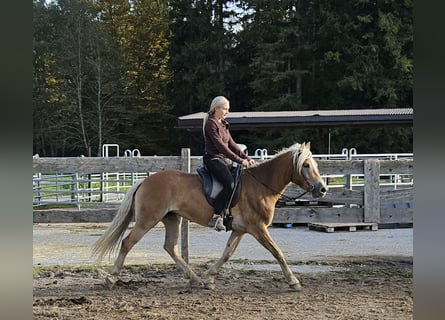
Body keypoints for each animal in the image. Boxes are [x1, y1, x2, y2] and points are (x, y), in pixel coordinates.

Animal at [91, 141, 326, 292]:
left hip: (172, 219)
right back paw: (110, 280)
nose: (322, 189)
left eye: (315, 165)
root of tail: (144, 181)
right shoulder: (258, 228)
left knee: (170, 247)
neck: (261, 186)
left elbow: (227, 254)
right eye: (306, 165)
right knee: (127, 243)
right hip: (147, 220)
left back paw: (194, 279)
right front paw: (293, 281)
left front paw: (209, 278)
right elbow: (277, 252)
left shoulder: (240, 230)